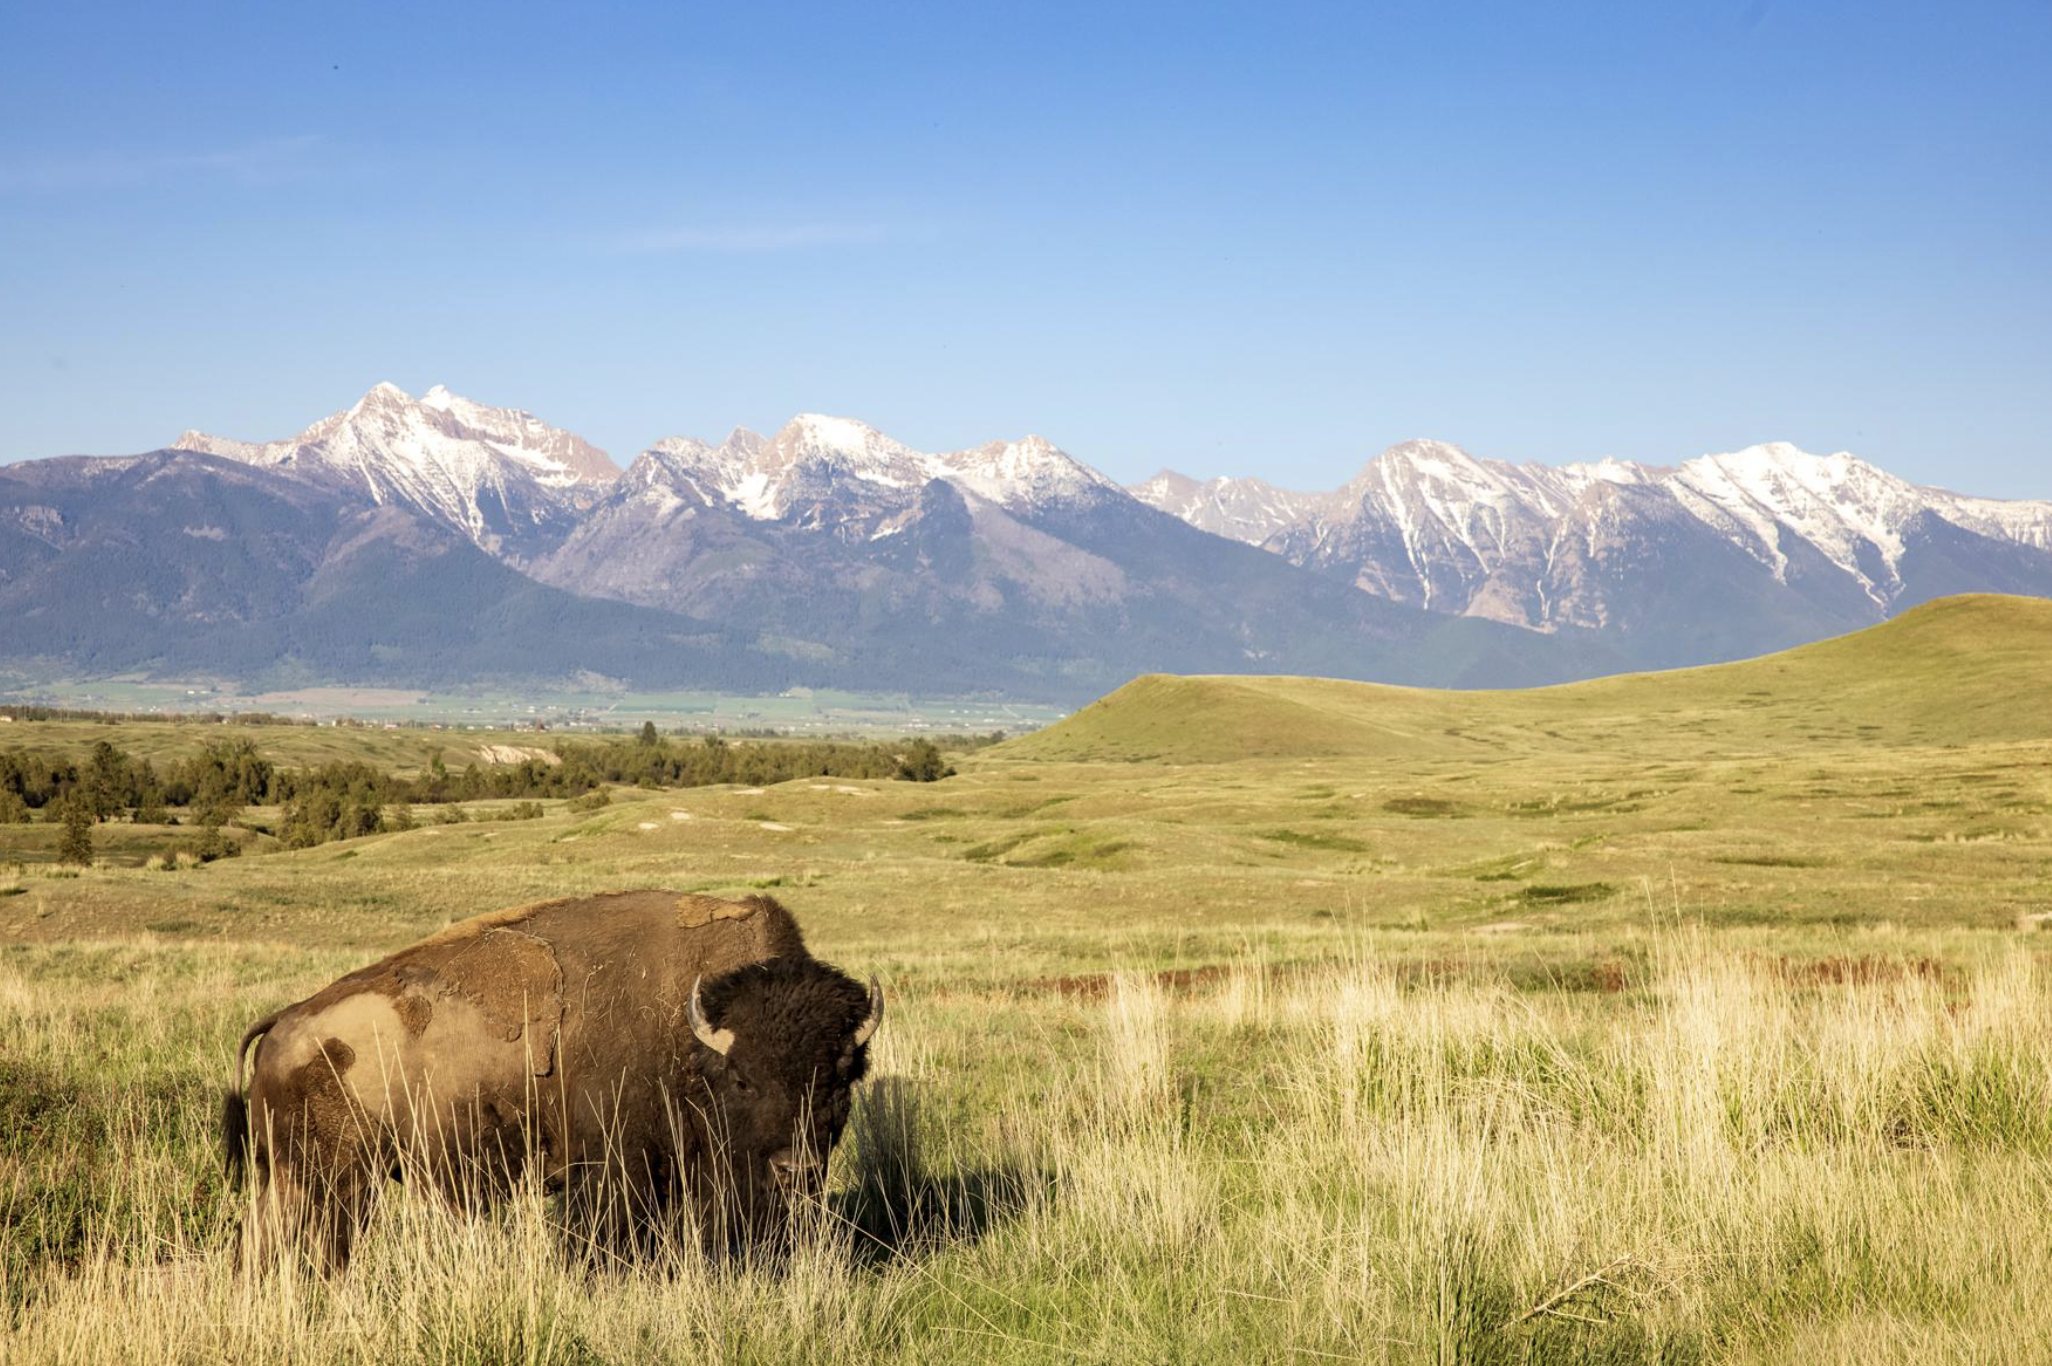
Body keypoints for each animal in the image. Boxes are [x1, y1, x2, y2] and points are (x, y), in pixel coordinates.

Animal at [222, 890, 882, 1272]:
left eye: (841, 1077)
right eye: (743, 1079)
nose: (797, 1170)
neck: (688, 1035)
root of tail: (285, 1022)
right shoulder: (618, 1172)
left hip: (299, 1180)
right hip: (327, 1180)